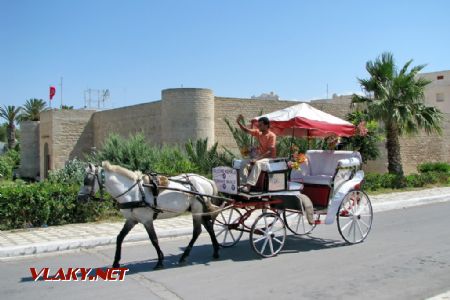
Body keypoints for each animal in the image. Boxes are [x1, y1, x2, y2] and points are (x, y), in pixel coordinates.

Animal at [78, 162, 221, 270]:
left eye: (87, 180)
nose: (80, 198)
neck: (133, 192)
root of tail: (206, 180)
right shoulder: (131, 220)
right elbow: (119, 238)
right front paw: (116, 262)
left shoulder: (147, 220)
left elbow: (154, 239)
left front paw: (160, 261)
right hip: (200, 210)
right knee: (209, 227)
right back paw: (215, 251)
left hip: (197, 209)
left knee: (197, 231)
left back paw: (185, 256)